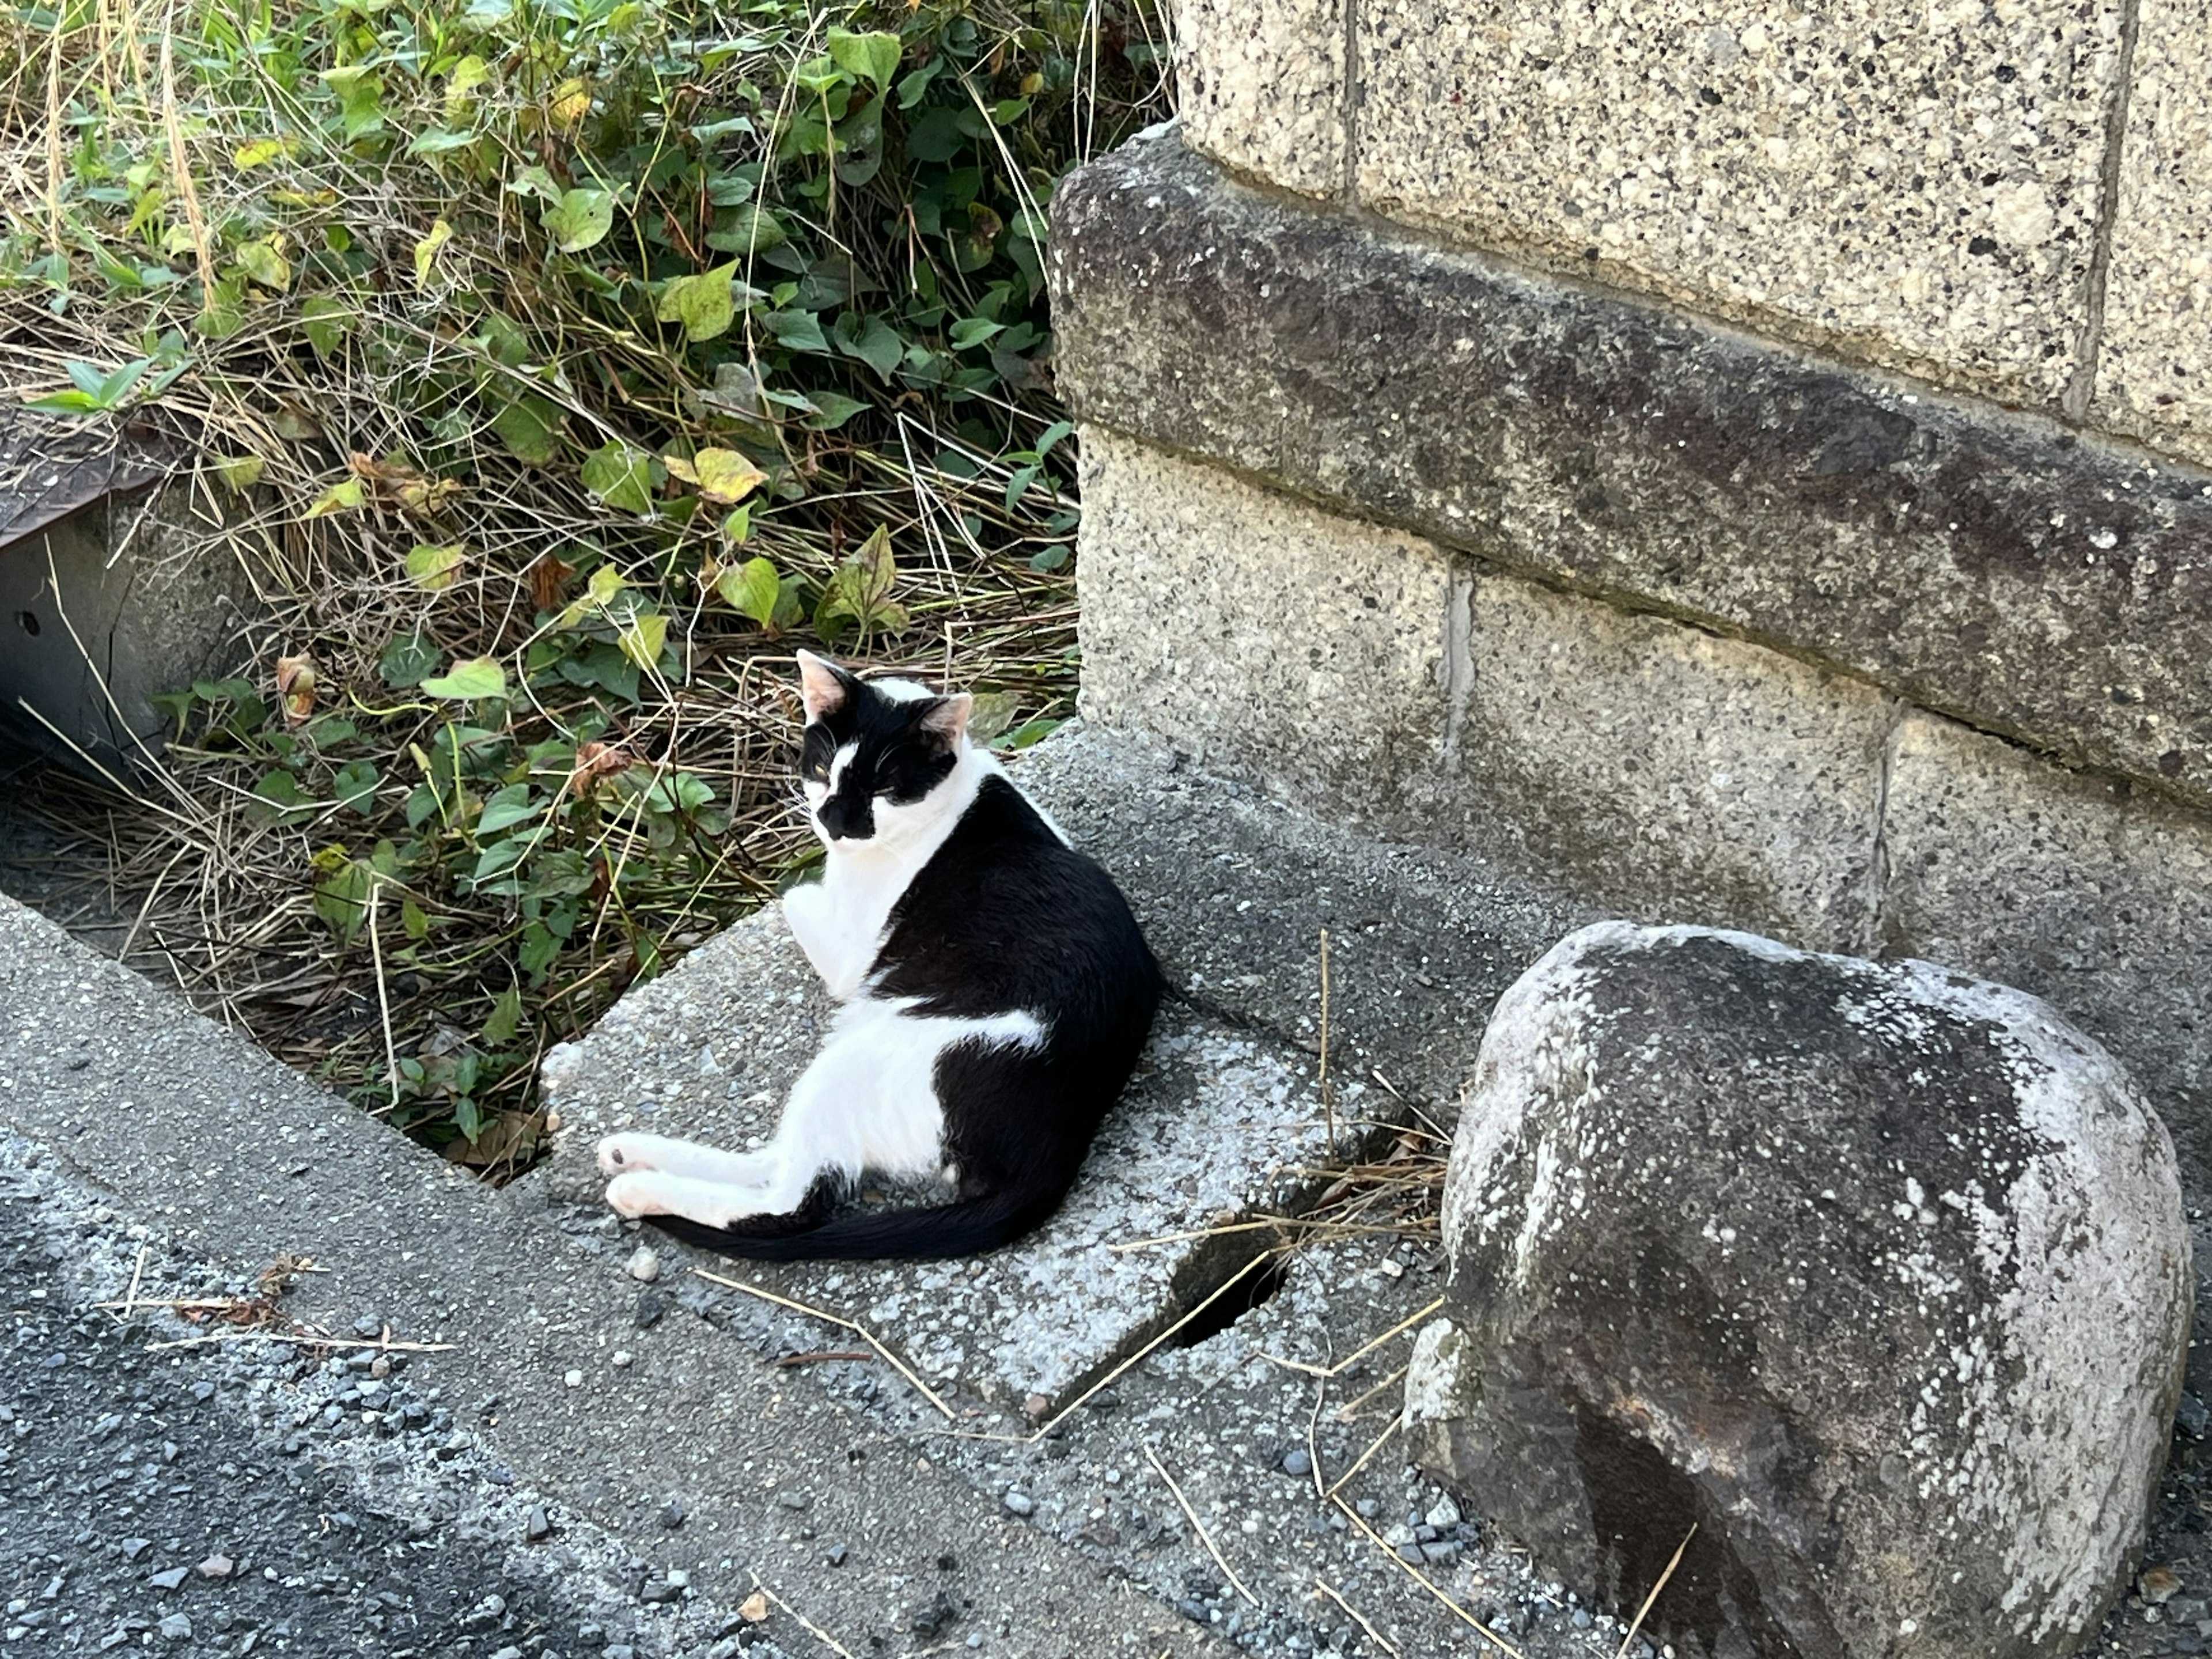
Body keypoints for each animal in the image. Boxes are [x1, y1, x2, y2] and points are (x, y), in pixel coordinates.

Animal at [597, 650, 1168, 1256]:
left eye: (883, 790)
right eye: (825, 770)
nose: (833, 823)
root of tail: (1055, 1146)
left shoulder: (849, 959)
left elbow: (792, 896)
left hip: (859, 1058)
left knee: (792, 1202)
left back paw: (639, 1189)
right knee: (773, 1163)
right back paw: (631, 1153)